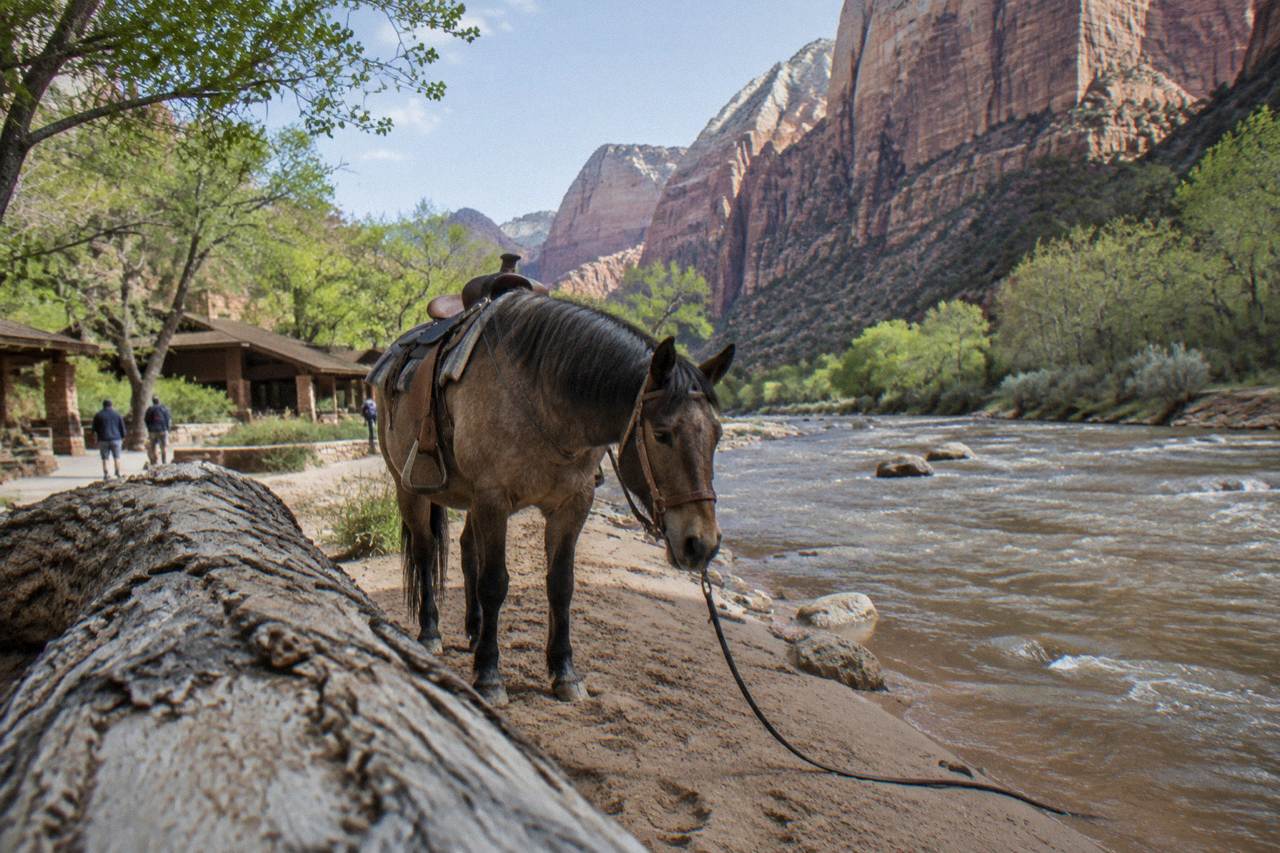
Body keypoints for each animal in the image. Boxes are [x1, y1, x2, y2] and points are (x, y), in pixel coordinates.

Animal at [376, 290, 734, 706]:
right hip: (410, 491)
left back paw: (475, 631)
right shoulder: (493, 500)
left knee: (467, 552)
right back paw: (431, 632)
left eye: (717, 435)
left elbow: (561, 584)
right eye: (662, 434)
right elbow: (494, 583)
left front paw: (564, 672)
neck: (545, 396)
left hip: (468, 499)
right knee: (424, 552)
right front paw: (489, 675)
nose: (702, 544)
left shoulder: (571, 505)